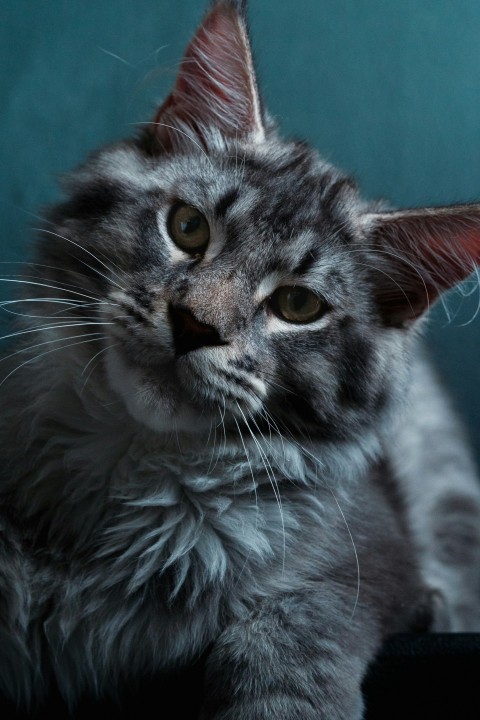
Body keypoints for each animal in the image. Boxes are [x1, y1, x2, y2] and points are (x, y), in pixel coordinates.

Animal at [0, 0, 480, 716]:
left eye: (298, 305)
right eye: (188, 227)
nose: (194, 325)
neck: (133, 462)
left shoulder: (359, 555)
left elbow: (294, 627)